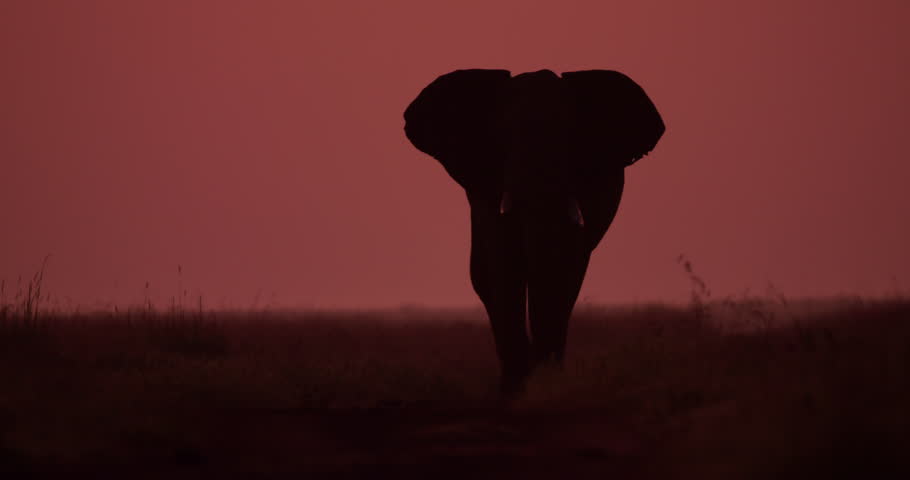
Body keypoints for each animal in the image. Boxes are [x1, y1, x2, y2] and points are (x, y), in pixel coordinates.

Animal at [403, 69, 665, 395]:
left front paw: (543, 382)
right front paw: (515, 389)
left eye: (572, 139)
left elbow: (561, 268)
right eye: (501, 137)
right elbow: (503, 266)